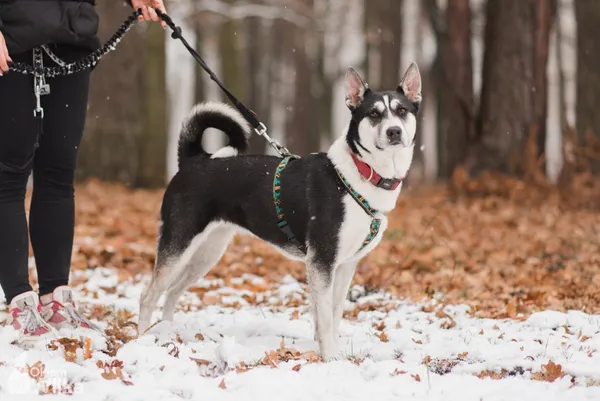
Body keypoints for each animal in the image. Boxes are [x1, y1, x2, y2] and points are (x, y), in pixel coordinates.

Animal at [140, 63, 422, 360]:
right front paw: (330, 357)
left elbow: (334, 313)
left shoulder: (346, 264)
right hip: (178, 244)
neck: (360, 174)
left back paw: (169, 331)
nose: (394, 132)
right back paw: (144, 337)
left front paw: (336, 353)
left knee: (172, 292)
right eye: (374, 114)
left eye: (402, 111)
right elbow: (324, 316)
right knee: (149, 296)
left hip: (207, 252)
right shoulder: (322, 261)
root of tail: (193, 161)